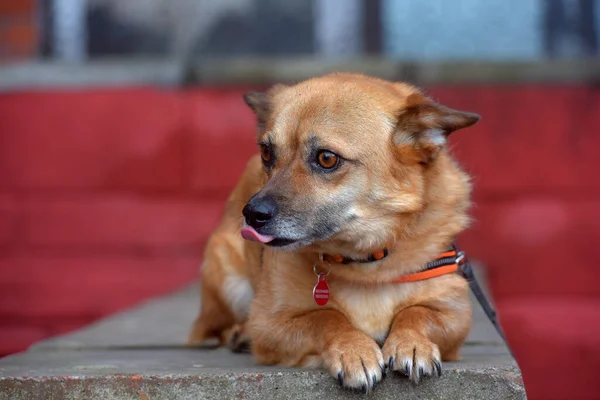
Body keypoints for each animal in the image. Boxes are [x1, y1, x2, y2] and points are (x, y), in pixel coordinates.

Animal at [190, 73, 480, 392]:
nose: (252, 214)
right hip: (227, 278)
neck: (365, 262)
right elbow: (326, 316)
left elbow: (416, 311)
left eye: (327, 158)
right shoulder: (269, 325)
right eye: (267, 153)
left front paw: (412, 343)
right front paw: (354, 350)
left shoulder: (456, 315)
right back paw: (239, 334)